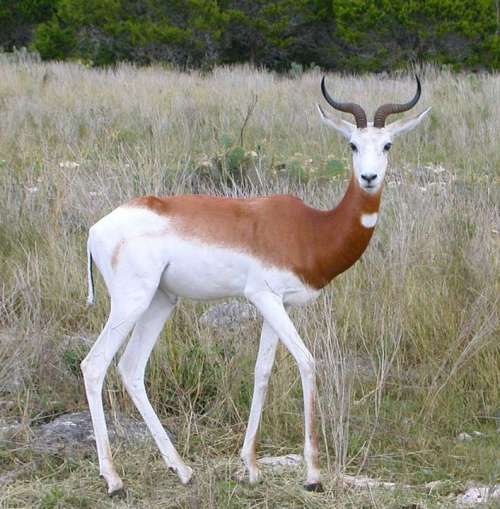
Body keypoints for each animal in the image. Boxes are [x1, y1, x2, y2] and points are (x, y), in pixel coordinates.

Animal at [82, 75, 430, 492]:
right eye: (352, 144)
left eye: (387, 144)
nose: (369, 178)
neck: (310, 229)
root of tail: (95, 229)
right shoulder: (263, 296)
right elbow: (307, 361)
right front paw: (313, 475)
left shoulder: (277, 304)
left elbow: (262, 372)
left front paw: (249, 465)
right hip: (131, 302)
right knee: (94, 365)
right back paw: (114, 478)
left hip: (160, 302)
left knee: (132, 368)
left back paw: (182, 469)